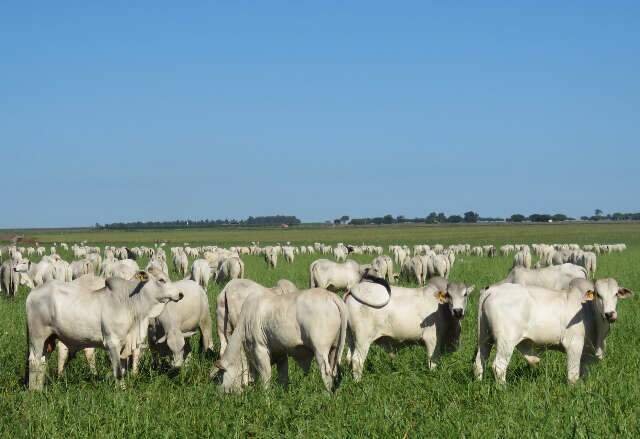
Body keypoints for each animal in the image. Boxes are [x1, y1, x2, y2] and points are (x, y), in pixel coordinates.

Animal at [26, 268, 181, 392]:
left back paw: (39, 388)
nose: (180, 294)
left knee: (42, 362)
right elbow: (118, 371)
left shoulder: (124, 345)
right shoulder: (112, 343)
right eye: (161, 280)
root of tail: (32, 293)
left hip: (49, 340)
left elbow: (122, 369)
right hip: (37, 338)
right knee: (34, 361)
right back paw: (34, 391)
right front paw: (121, 392)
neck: (128, 303)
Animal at [212, 290, 348, 394]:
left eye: (220, 377)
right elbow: (282, 377)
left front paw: (265, 397)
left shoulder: (260, 349)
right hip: (334, 350)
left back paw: (327, 394)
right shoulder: (281, 353)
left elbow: (266, 376)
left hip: (320, 350)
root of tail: (331, 296)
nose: (219, 393)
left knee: (326, 373)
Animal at [344, 276, 476, 382]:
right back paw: (358, 382)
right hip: (362, 339)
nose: (458, 311)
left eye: (465, 294)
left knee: (349, 358)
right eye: (449, 295)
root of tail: (352, 290)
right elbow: (432, 362)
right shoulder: (432, 340)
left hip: (351, 338)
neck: (442, 309)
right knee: (357, 360)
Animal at [472, 278, 632, 384]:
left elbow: (583, 372)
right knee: (499, 366)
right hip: (506, 342)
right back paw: (503, 388)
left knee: (479, 362)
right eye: (598, 294)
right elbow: (573, 374)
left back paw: (479, 384)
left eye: (616, 294)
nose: (609, 314)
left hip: (485, 339)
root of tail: (492, 290)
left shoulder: (586, 352)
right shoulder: (574, 344)